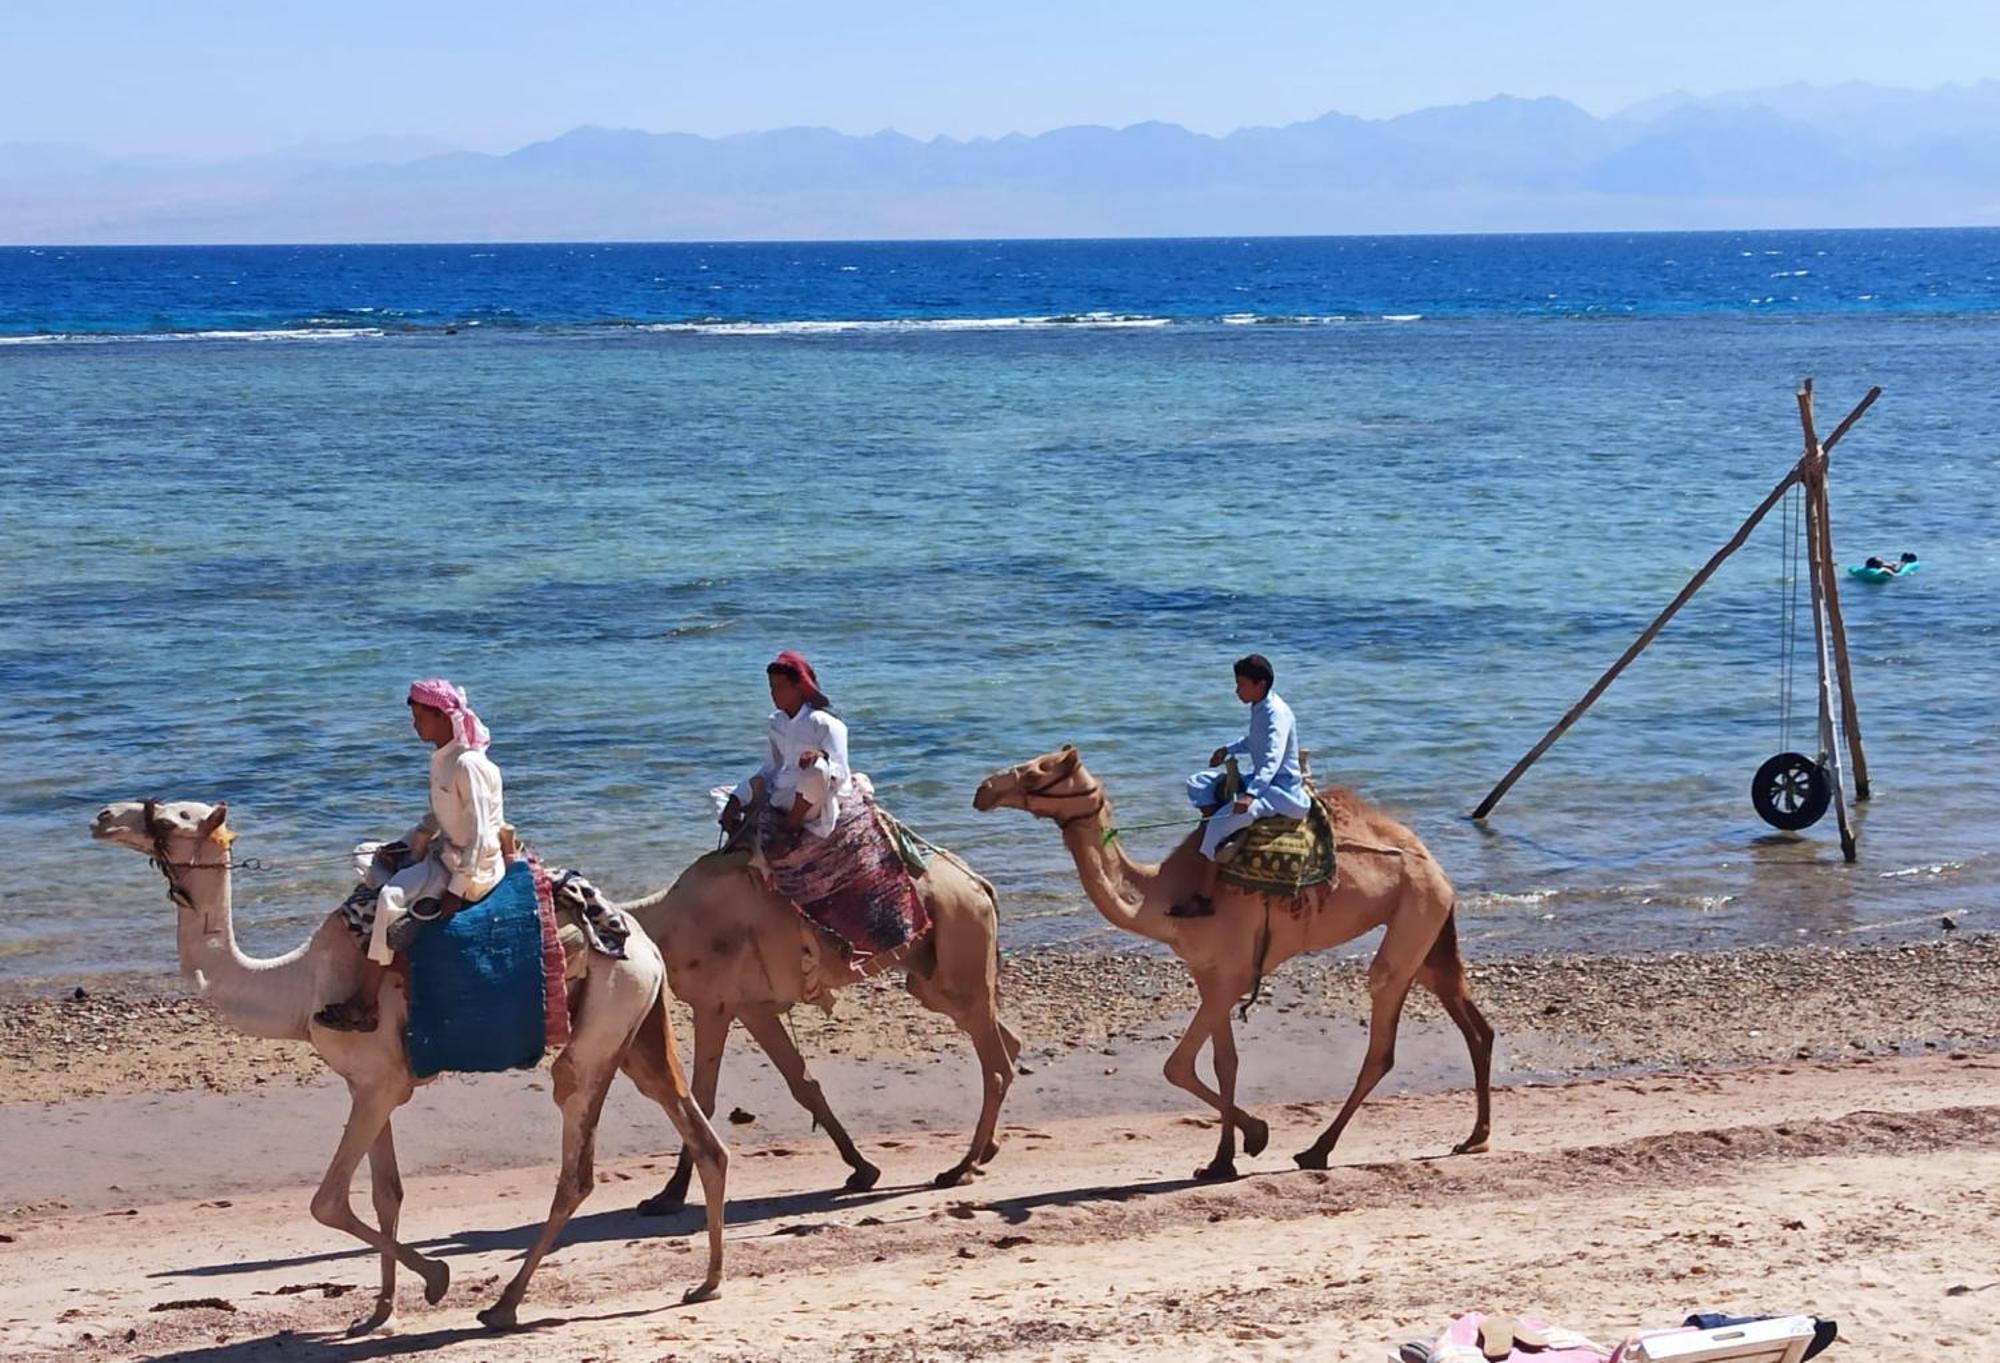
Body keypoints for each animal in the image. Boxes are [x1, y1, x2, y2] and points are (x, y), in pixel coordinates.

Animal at [92, 795, 736, 1327]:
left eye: (172, 818)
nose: (103, 817)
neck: (298, 986)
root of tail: (640, 943)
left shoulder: (379, 1085)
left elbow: (328, 1200)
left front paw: (436, 1279)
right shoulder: (371, 1085)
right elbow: (387, 1193)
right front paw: (378, 1311)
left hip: (600, 1029)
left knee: (575, 1157)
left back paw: (504, 1304)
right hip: (638, 1027)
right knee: (698, 1131)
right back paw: (707, 1283)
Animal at [616, 839, 1024, 1207]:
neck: (667, 925)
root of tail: (979, 883)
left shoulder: (714, 1003)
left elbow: (700, 1097)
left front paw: (668, 1195)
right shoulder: (750, 1008)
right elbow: (803, 1084)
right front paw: (863, 1170)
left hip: (960, 946)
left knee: (996, 1067)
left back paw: (960, 1169)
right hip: (934, 977)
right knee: (1004, 1040)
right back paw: (986, 1151)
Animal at [976, 743, 1496, 1175]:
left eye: (1040, 769)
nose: (984, 789)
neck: (1161, 896)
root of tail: (1435, 866)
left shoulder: (1233, 974)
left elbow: (1178, 1065)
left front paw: (1251, 1139)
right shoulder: (1208, 973)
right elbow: (1224, 1062)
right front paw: (1226, 1155)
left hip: (1413, 916)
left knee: (1382, 1036)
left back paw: (1317, 1150)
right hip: (1428, 936)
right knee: (1475, 1027)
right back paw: (1475, 1138)